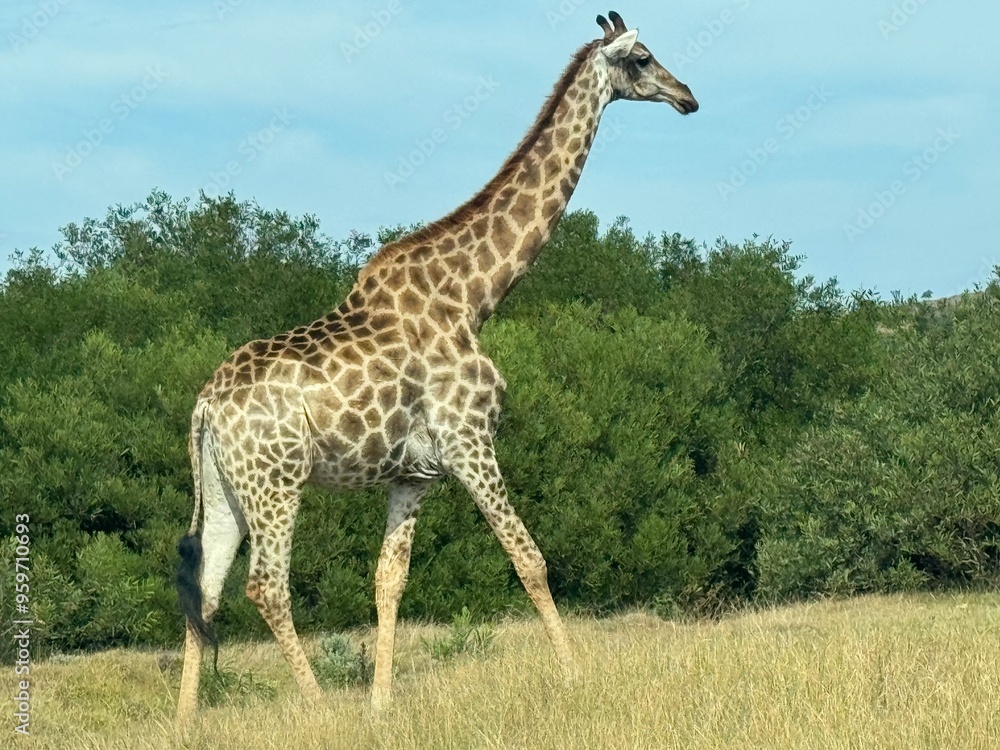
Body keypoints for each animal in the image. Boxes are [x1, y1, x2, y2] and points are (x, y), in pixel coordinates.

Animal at [175, 10, 697, 724]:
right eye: (643, 58)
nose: (687, 96)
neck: (474, 295)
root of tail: (205, 404)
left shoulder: (414, 473)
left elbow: (388, 580)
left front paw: (380, 702)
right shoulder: (470, 440)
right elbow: (528, 557)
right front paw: (575, 675)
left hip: (226, 487)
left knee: (205, 589)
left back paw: (184, 721)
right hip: (276, 480)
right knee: (266, 587)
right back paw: (318, 705)